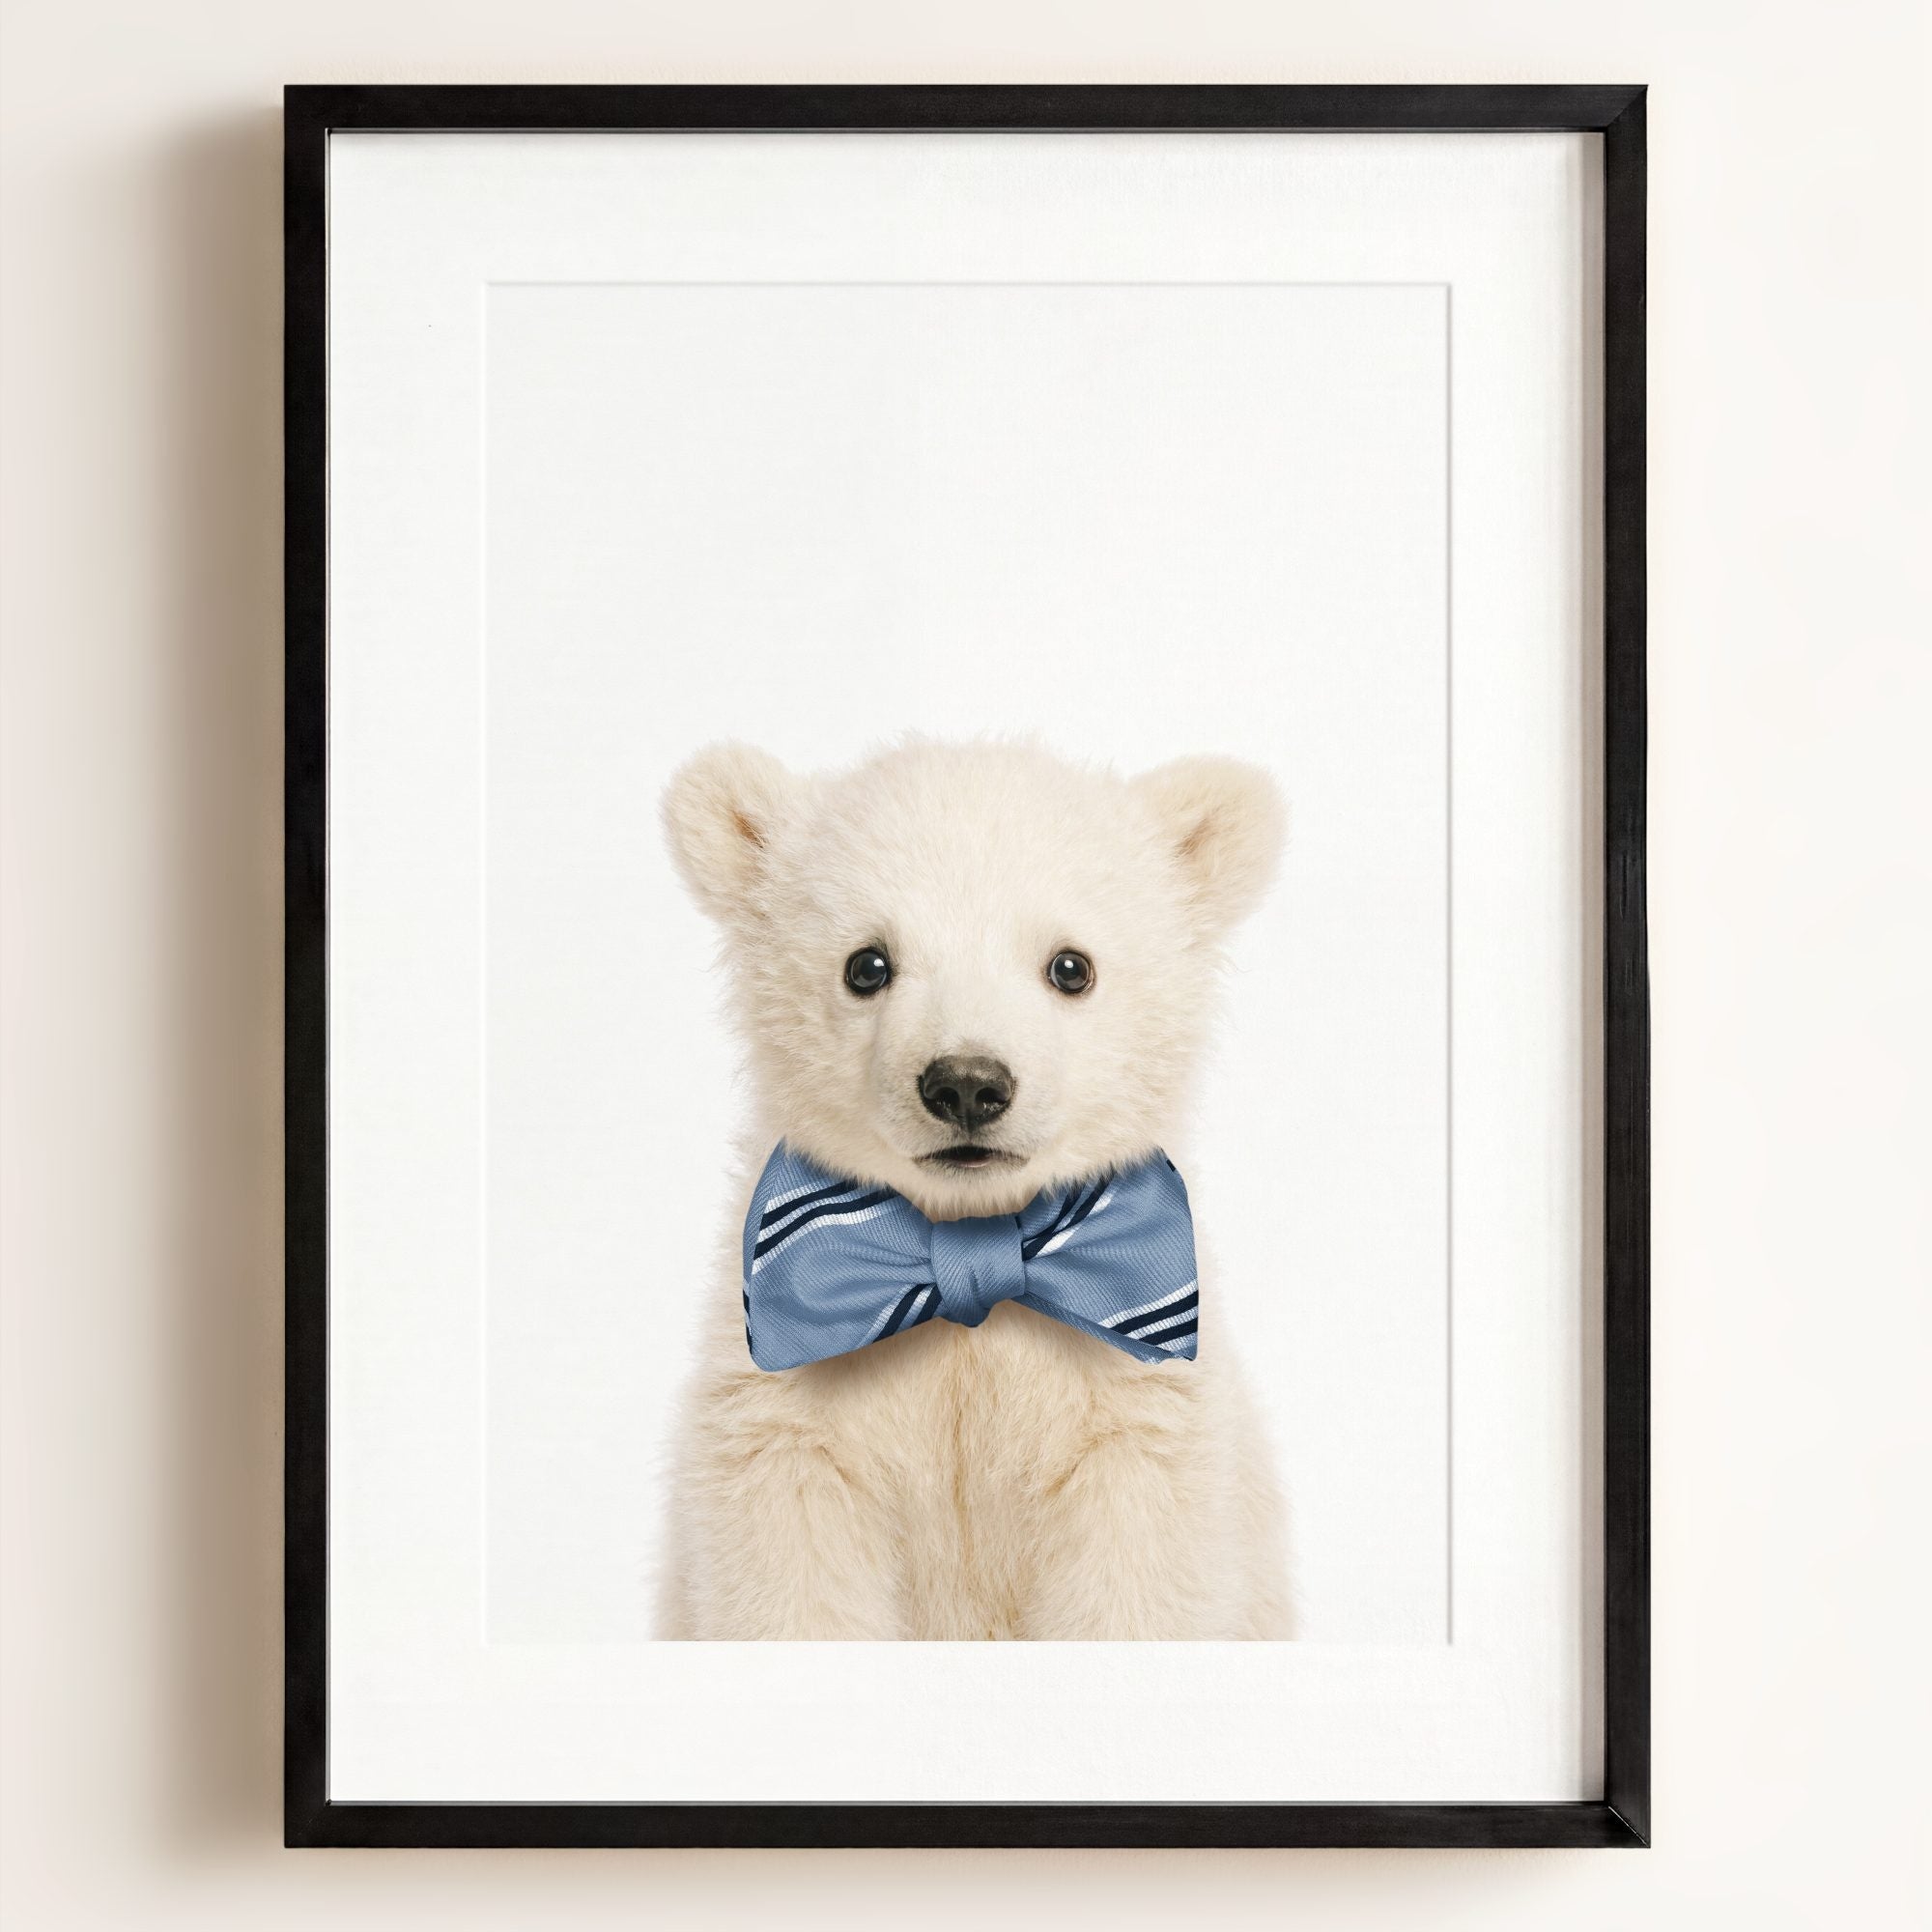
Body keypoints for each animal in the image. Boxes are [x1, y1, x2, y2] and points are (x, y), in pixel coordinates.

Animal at [654, 737, 1291, 1640]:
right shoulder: (786, 1414)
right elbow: (790, 1571)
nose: (966, 1084)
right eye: (867, 964)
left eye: (1071, 967)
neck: (965, 1230)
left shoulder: (1132, 1418)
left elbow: (1136, 1578)